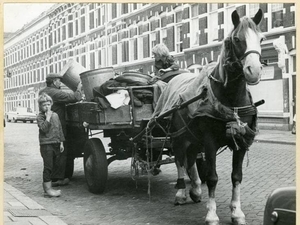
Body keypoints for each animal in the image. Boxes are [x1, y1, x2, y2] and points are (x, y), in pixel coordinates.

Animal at [168, 9, 264, 225]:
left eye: (261, 38)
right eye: (236, 39)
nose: (254, 70)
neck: (231, 100)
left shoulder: (241, 140)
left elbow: (237, 176)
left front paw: (237, 212)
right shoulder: (210, 140)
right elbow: (212, 178)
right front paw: (212, 214)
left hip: (193, 137)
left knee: (191, 158)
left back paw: (195, 189)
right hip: (179, 136)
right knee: (180, 160)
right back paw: (180, 193)